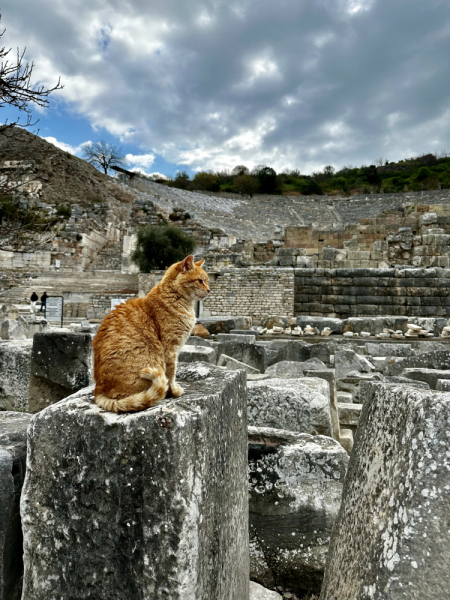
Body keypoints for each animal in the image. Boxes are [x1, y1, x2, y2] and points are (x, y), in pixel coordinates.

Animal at [92, 253, 211, 412]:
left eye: (207, 281)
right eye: (200, 281)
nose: (209, 290)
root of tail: (98, 390)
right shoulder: (170, 348)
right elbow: (171, 373)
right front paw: (174, 391)